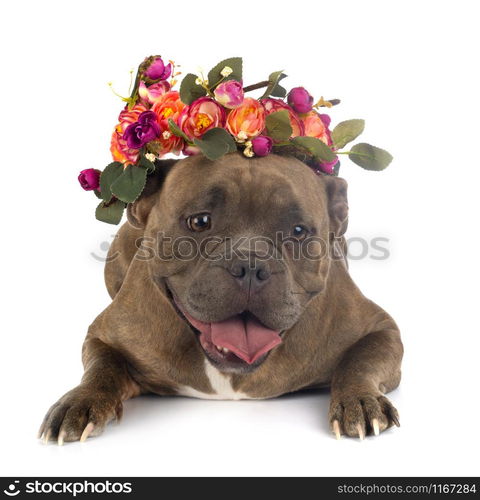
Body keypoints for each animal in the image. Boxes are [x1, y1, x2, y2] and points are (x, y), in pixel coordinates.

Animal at [39, 151, 404, 442]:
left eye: (299, 231)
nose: (250, 267)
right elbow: (102, 368)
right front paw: (80, 401)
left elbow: (359, 362)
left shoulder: (381, 329)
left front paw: (359, 401)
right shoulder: (104, 334)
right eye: (199, 221)